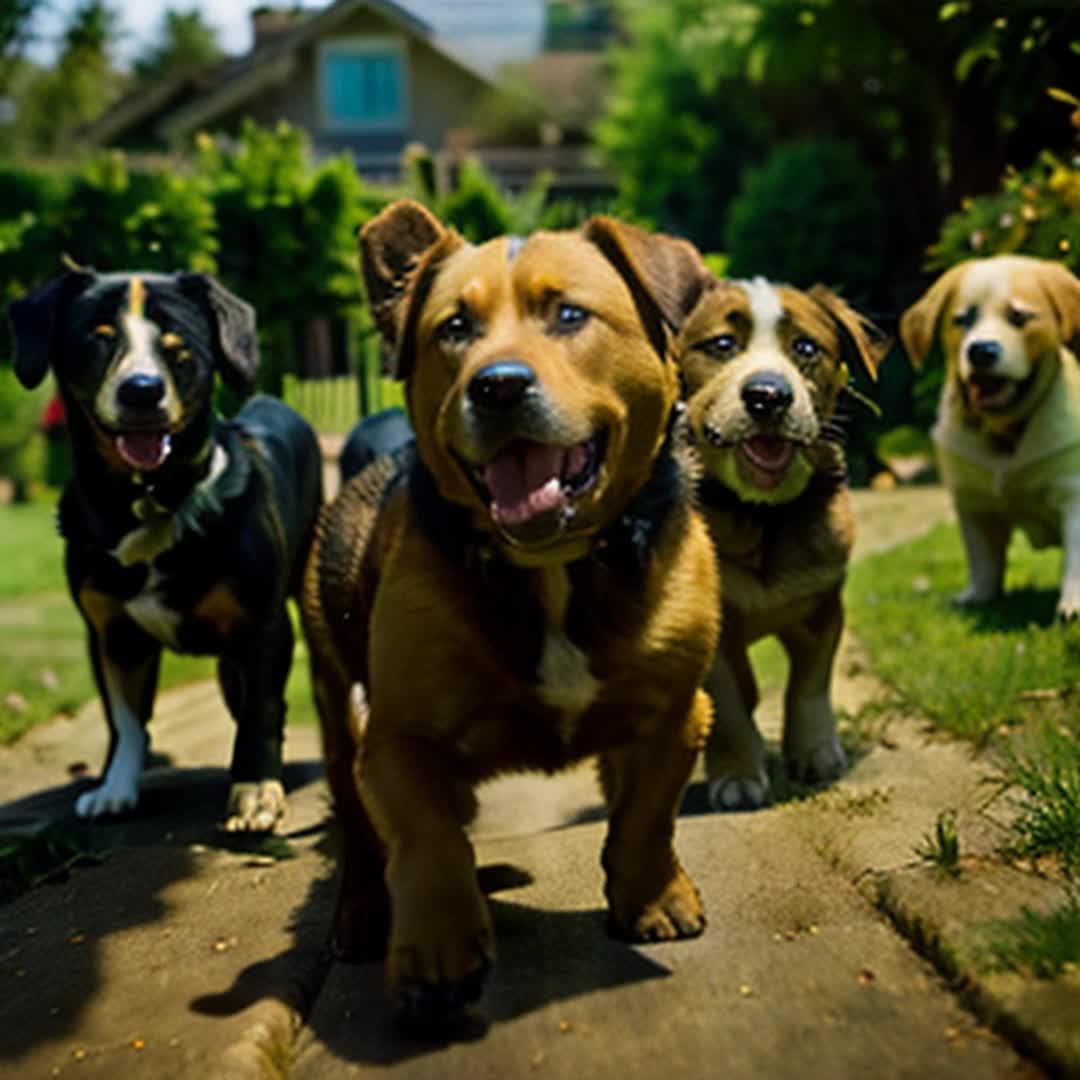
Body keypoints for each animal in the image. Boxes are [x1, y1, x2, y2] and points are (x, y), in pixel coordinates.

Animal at [8, 265, 321, 829]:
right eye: (98, 339)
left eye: (178, 349)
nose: (142, 391)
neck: (152, 497)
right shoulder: (111, 632)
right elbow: (125, 719)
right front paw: (115, 787)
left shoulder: (263, 625)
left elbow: (262, 710)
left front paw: (255, 787)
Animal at [300, 200, 717, 1019]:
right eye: (453, 328)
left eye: (568, 314)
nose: (495, 387)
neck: (553, 563)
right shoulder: (394, 741)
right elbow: (427, 839)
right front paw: (436, 944)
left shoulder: (675, 713)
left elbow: (646, 816)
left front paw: (651, 896)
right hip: (336, 711)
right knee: (362, 835)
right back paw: (364, 914)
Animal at [673, 278, 885, 812]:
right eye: (721, 345)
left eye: (806, 349)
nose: (767, 396)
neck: (760, 513)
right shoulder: (714, 630)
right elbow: (728, 705)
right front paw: (737, 774)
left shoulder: (823, 605)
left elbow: (809, 686)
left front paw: (816, 753)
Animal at [898, 253, 1080, 622]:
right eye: (962, 319)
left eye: (1018, 316)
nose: (981, 351)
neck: (1004, 430)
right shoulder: (972, 503)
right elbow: (982, 561)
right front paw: (977, 597)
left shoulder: (1073, 492)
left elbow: (1075, 557)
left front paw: (1072, 605)